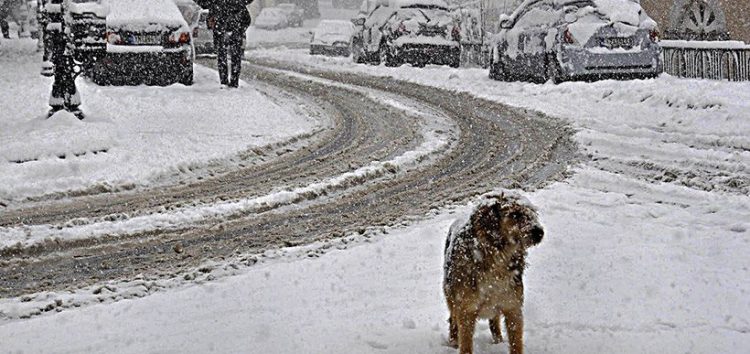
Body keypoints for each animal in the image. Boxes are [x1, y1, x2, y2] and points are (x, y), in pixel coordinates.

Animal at [446, 191, 548, 354]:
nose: (540, 232)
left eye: (531, 212)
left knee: (494, 322)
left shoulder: (513, 307)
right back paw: (453, 341)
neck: (496, 259)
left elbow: (516, 342)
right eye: (514, 214)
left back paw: (498, 340)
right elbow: (466, 344)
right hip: (452, 299)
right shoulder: (466, 310)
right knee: (452, 319)